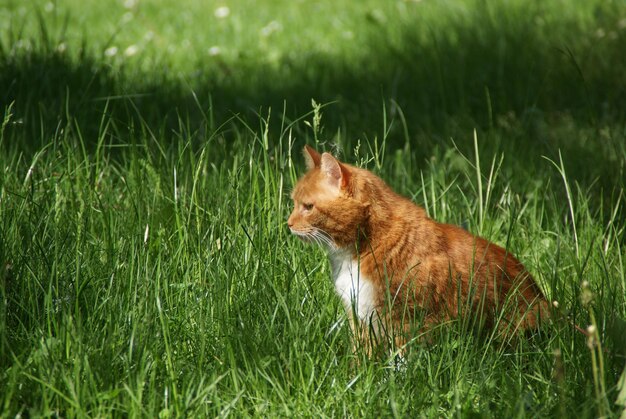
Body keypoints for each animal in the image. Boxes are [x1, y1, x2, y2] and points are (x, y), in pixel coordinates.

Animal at [288, 146, 544, 356]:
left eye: (308, 207)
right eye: (294, 203)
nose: (288, 224)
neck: (369, 242)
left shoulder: (409, 318)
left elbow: (402, 361)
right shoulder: (361, 315)